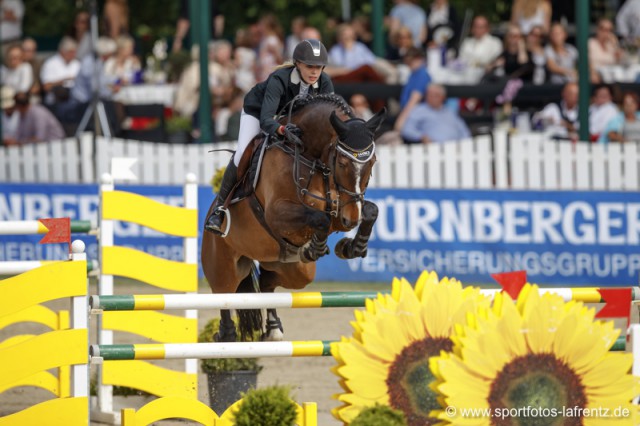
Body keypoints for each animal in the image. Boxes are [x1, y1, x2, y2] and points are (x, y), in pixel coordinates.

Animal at [202, 95, 388, 342]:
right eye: (342, 163)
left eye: (373, 161)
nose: (352, 221)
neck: (310, 157)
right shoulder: (276, 214)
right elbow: (319, 218)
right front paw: (317, 247)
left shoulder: (341, 210)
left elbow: (370, 211)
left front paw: (351, 247)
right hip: (223, 267)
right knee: (224, 295)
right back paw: (226, 333)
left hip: (292, 270)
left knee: (266, 283)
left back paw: (273, 328)